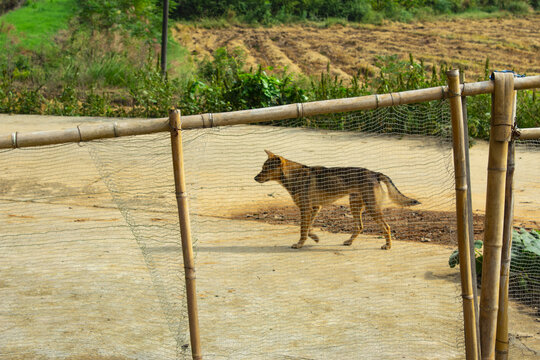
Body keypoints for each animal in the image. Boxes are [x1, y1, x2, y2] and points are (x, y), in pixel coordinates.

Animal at [255, 150, 420, 249]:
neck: (293, 176)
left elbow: (303, 229)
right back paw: (349, 242)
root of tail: (374, 173)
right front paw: (315, 238)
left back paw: (388, 246)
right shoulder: (314, 208)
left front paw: (300, 244)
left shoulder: (306, 209)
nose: (255, 178)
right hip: (355, 206)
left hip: (371, 209)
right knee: (359, 227)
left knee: (387, 227)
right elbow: (308, 228)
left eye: (265, 169)